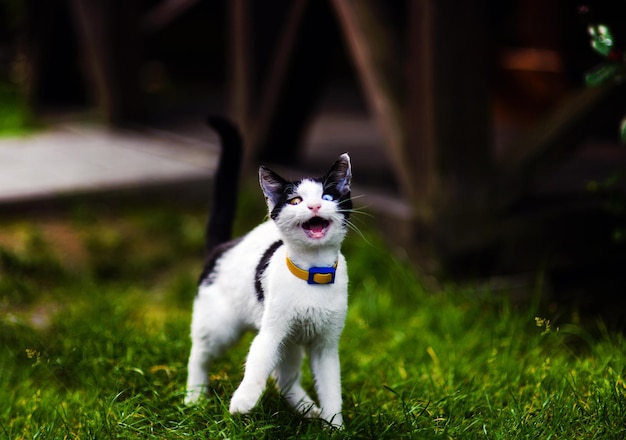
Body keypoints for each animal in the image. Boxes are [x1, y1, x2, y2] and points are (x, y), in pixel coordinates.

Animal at [184, 117, 352, 430]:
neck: (313, 273)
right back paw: (195, 396)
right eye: (296, 201)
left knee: (284, 377)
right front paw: (243, 400)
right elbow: (258, 359)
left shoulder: (325, 343)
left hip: (291, 342)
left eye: (327, 196)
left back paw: (307, 408)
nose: (315, 205)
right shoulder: (273, 329)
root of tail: (222, 247)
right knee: (199, 353)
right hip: (220, 325)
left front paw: (335, 425)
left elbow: (331, 385)